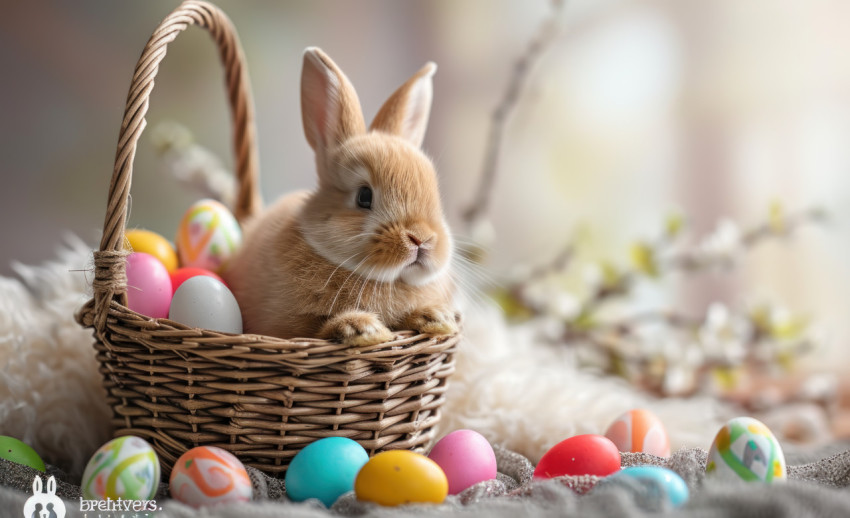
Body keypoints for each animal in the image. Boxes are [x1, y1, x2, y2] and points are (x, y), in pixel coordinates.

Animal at [220, 46, 458, 348]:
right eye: (364, 196)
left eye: (434, 193)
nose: (421, 238)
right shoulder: (283, 327)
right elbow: (315, 330)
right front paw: (363, 329)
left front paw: (437, 318)